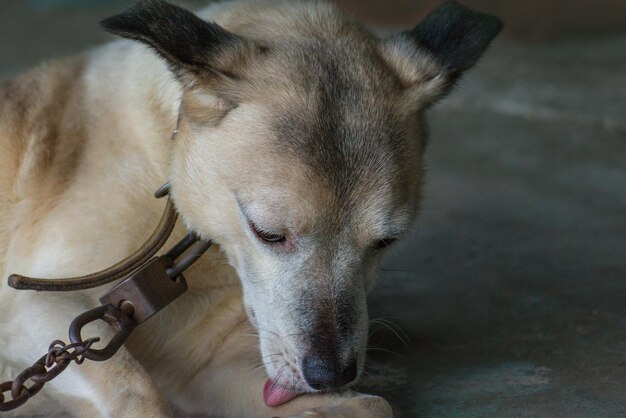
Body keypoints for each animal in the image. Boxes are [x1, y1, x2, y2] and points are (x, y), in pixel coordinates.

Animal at [0, 1, 500, 416]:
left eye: (386, 242)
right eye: (268, 233)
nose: (330, 376)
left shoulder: (205, 366)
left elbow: (372, 405)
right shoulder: (34, 307)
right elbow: (138, 394)